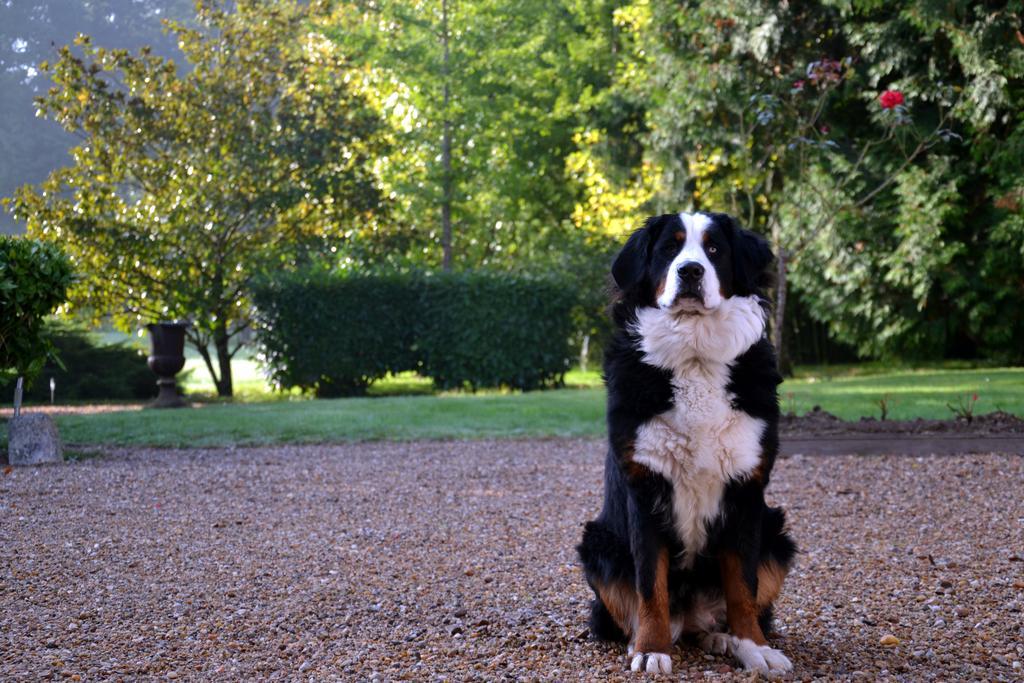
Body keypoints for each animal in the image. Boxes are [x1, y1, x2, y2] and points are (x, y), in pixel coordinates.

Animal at [581, 211, 794, 671]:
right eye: (669, 249)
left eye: (714, 249)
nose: (691, 271)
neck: (695, 355)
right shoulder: (645, 487)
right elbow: (650, 584)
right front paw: (651, 649)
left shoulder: (746, 491)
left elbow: (743, 586)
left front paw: (754, 647)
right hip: (598, 543)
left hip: (777, 535)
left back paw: (724, 638)